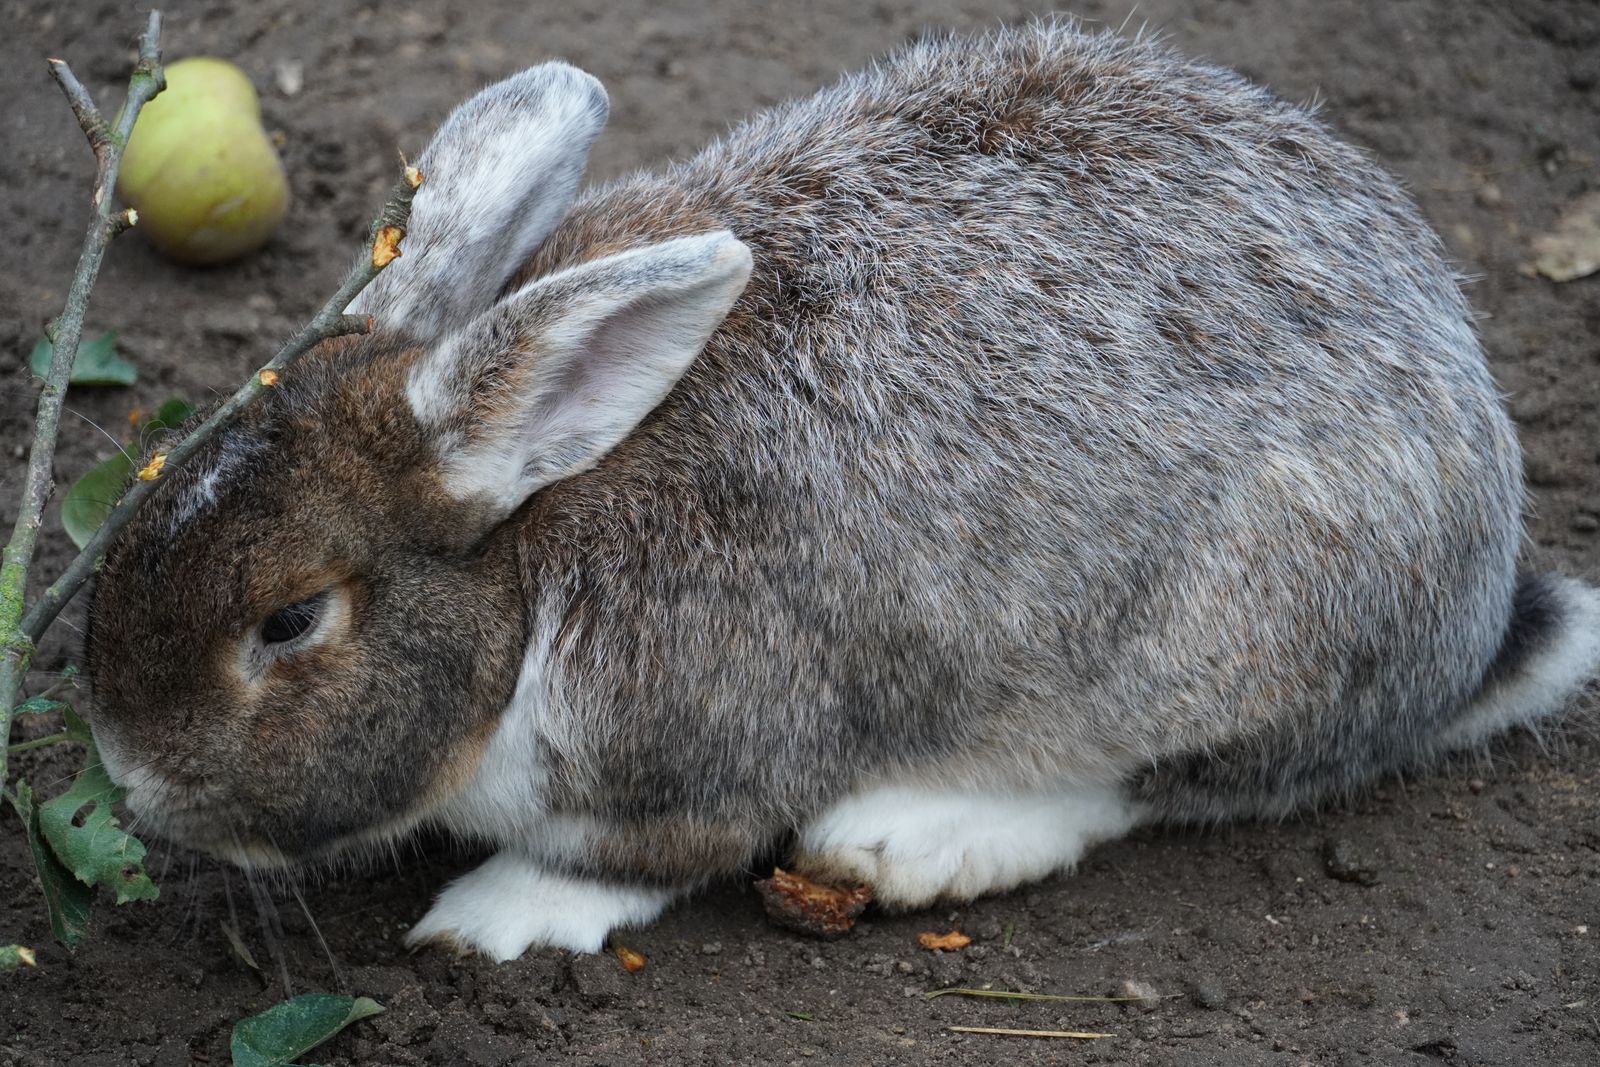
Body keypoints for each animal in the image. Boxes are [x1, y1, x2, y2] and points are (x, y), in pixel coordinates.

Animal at [85, 21, 1600, 962]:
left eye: (291, 621)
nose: (129, 776)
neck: (527, 559)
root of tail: (1477, 620)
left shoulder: (700, 755)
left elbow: (626, 859)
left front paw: (490, 917)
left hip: (1236, 627)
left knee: (1157, 786)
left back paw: (915, 838)